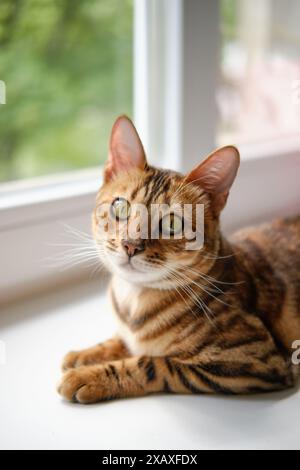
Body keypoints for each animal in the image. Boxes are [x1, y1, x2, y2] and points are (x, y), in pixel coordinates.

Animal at [58, 115, 300, 402]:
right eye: (120, 207)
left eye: (172, 223)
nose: (130, 245)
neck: (134, 299)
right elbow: (120, 341)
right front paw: (85, 354)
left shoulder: (253, 359)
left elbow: (153, 364)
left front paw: (90, 376)